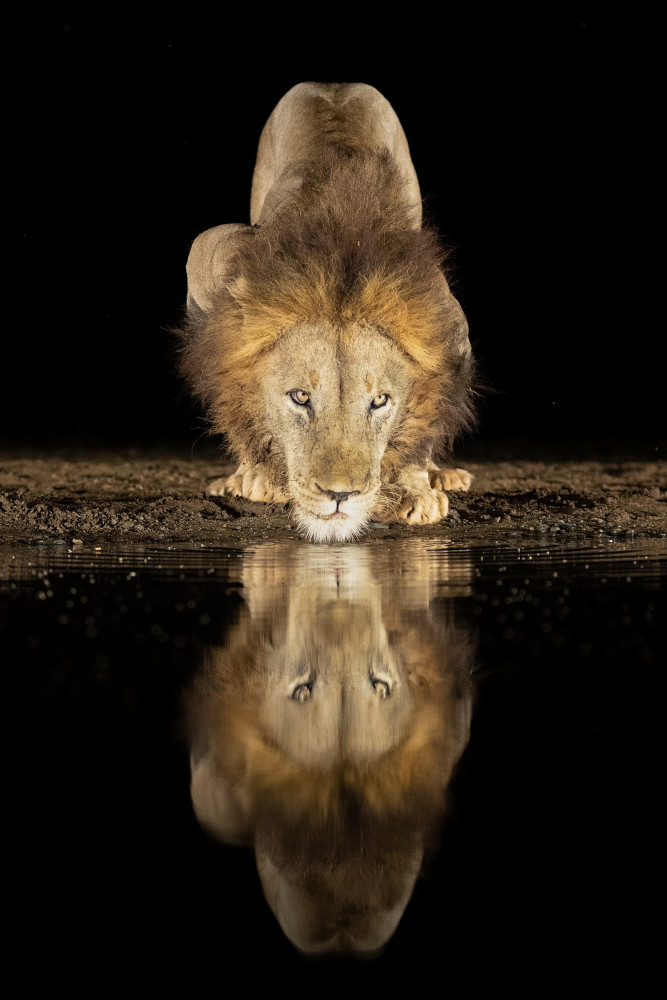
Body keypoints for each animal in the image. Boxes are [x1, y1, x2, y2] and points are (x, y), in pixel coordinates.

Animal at [179, 83, 476, 541]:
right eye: (301, 397)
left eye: (380, 401)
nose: (340, 495)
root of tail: (333, 84)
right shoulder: (210, 258)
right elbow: (231, 395)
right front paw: (258, 473)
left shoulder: (447, 322)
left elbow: (427, 416)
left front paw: (414, 489)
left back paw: (443, 475)